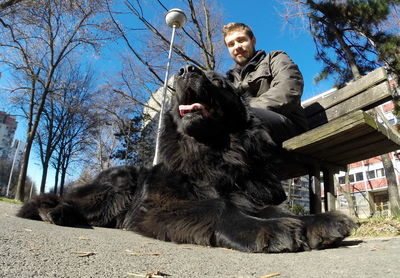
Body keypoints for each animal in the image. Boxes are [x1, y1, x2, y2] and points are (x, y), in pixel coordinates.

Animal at [18, 64, 356, 252]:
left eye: (219, 82)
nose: (185, 70)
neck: (213, 152)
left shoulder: (246, 193)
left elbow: (271, 208)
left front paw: (316, 221)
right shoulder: (161, 206)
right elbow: (218, 206)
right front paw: (268, 229)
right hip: (119, 183)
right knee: (63, 201)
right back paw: (55, 211)